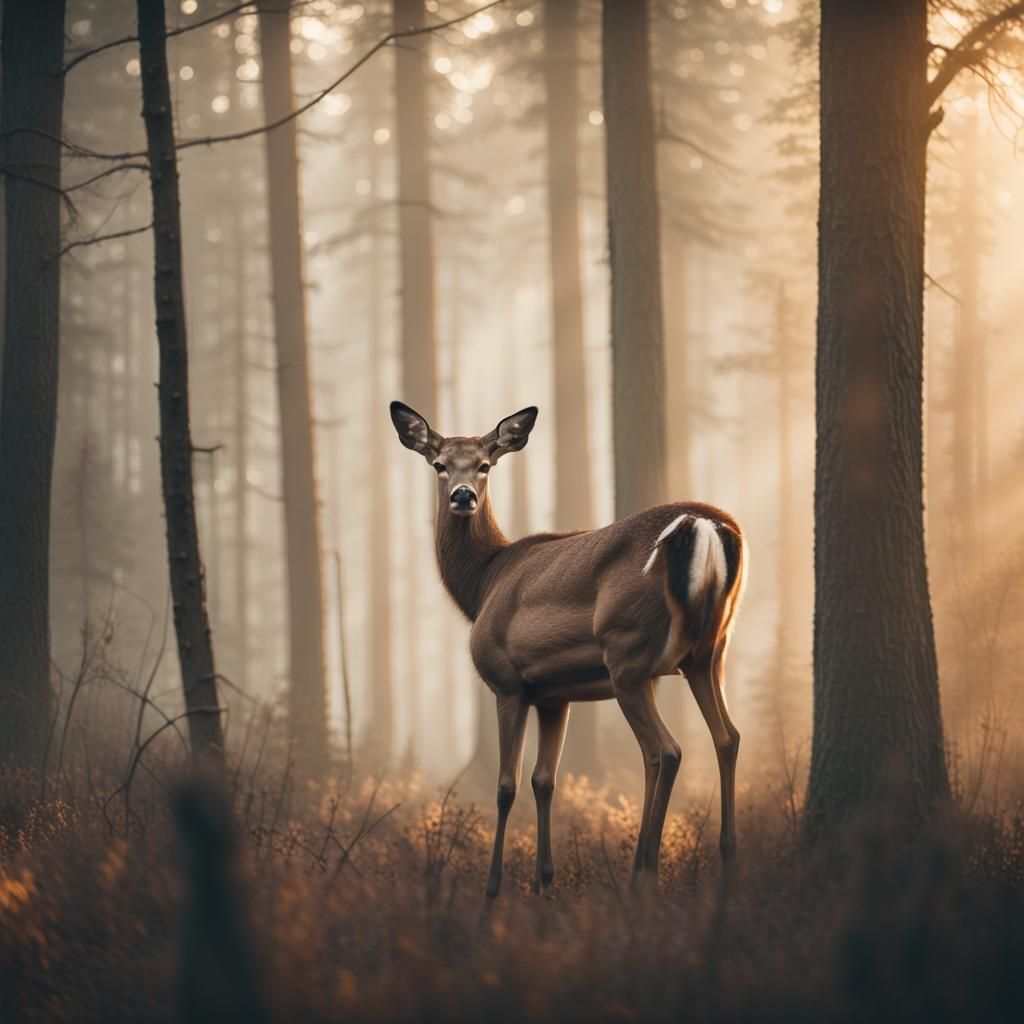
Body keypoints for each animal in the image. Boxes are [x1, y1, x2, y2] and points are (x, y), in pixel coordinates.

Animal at [390, 401, 746, 897]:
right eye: (440, 463)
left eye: (484, 464)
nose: (462, 496)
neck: (483, 584)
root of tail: (706, 525)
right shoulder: (555, 695)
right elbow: (544, 781)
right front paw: (545, 881)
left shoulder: (507, 681)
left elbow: (506, 786)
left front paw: (494, 888)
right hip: (709, 652)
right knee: (727, 737)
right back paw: (726, 862)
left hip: (628, 653)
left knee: (665, 750)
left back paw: (644, 873)